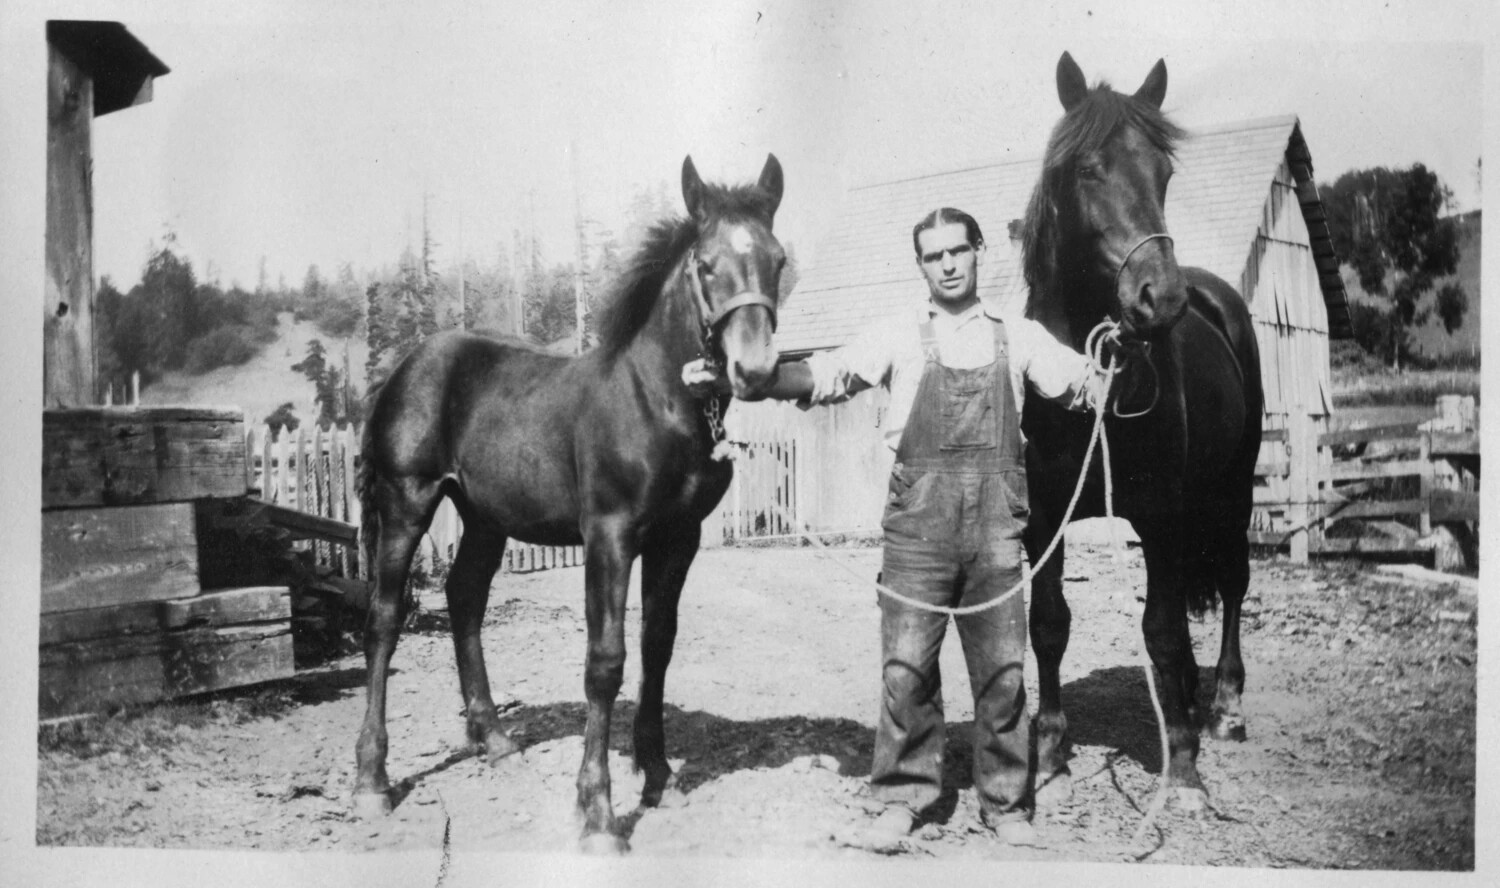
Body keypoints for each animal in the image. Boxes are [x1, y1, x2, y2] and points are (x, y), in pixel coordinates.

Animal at [352, 154, 787, 853]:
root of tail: (403, 370)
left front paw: (657, 775)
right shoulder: (609, 534)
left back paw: (495, 740)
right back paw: (372, 780)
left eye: (778, 259)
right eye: (706, 264)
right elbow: (605, 661)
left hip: (484, 519)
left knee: (464, 599)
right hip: (406, 504)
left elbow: (657, 644)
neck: (655, 399)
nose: (755, 370)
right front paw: (599, 814)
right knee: (385, 620)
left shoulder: (678, 538)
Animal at [1018, 53, 1264, 811]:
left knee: (1233, 584)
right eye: (1087, 169)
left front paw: (1182, 766)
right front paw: (1052, 756)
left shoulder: (1158, 513)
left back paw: (1223, 709)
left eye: (1164, 173)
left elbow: (1159, 628)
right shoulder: (1045, 516)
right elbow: (1049, 625)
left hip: (1232, 490)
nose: (1162, 298)